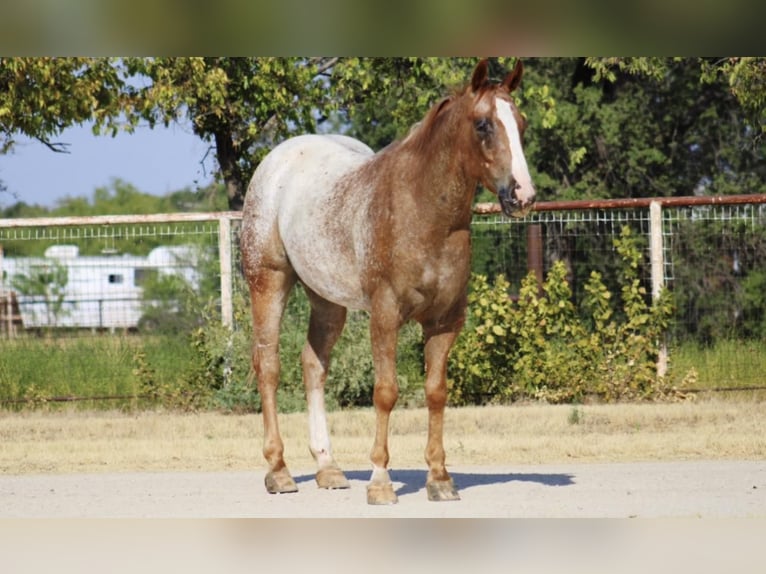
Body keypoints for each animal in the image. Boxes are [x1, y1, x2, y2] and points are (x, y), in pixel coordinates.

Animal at [243, 58, 536, 506]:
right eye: (483, 124)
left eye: (520, 123)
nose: (522, 196)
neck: (422, 211)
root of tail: (277, 159)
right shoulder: (385, 316)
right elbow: (386, 392)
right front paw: (381, 482)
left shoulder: (445, 322)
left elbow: (436, 392)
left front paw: (439, 478)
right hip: (269, 282)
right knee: (269, 367)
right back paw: (278, 471)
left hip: (327, 300)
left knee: (313, 365)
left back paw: (328, 467)